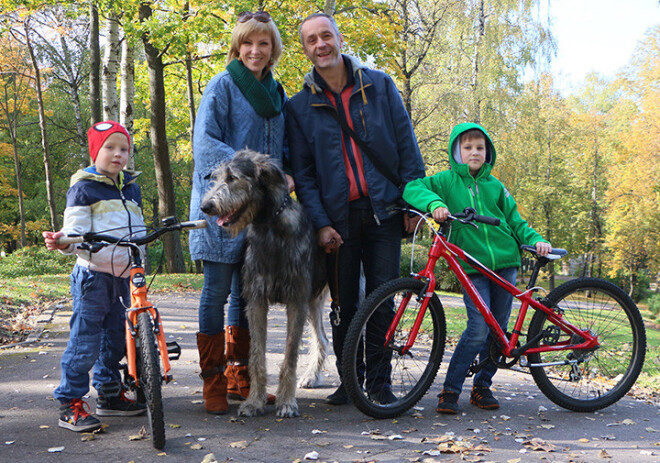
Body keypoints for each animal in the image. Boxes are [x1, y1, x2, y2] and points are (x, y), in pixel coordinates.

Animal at [199, 150, 328, 418]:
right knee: (322, 338)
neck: (270, 226)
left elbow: (290, 356)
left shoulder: (296, 300)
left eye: (233, 178)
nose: (206, 207)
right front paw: (254, 401)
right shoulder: (256, 300)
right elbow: (256, 355)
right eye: (216, 178)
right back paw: (311, 376)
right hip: (314, 301)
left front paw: (287, 402)